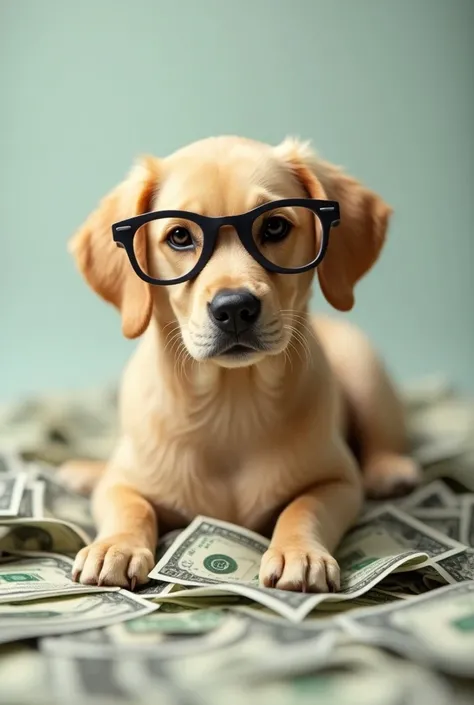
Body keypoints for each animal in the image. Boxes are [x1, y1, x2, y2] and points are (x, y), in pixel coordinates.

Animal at [61, 136, 420, 588]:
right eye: (180, 236)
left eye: (275, 226)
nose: (233, 308)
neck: (230, 402)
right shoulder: (121, 483)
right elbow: (131, 505)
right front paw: (115, 546)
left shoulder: (338, 480)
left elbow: (303, 508)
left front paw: (299, 553)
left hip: (366, 370)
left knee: (382, 437)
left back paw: (390, 470)